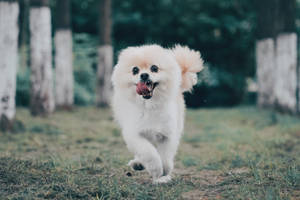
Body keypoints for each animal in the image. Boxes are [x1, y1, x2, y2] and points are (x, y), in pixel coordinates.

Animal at [111, 44, 203, 184]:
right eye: (135, 70)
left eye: (154, 68)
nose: (144, 75)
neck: (150, 106)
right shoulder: (134, 134)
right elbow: (148, 152)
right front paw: (156, 169)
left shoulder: (167, 135)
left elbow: (165, 157)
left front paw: (164, 174)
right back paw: (138, 163)